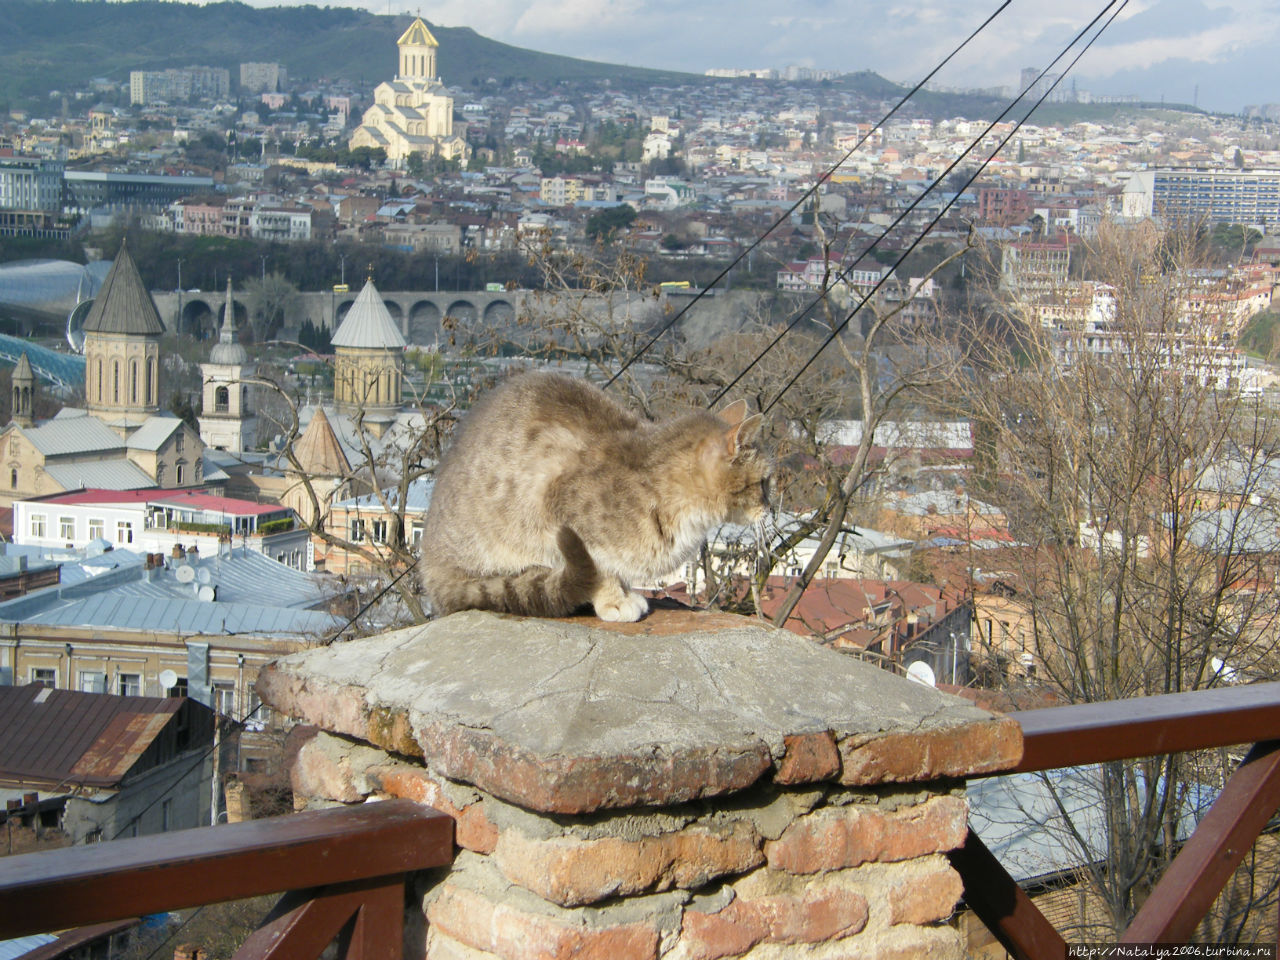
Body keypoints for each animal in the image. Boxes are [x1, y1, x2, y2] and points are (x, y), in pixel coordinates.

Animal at [422, 368, 768, 624]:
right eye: (765, 481)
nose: (768, 507)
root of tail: (431, 569)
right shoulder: (566, 523)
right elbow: (602, 571)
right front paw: (614, 600)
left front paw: (626, 593)